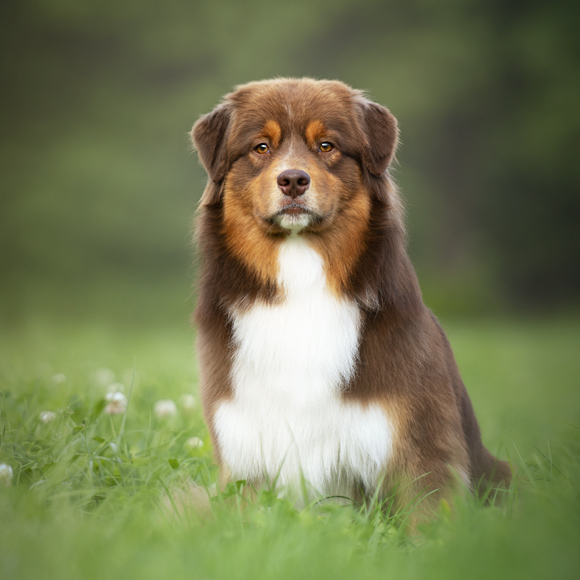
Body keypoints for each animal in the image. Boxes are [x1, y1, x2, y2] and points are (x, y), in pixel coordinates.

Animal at [189, 77, 508, 520]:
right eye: (261, 147)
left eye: (327, 145)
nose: (292, 180)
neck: (301, 277)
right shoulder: (245, 448)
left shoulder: (420, 446)